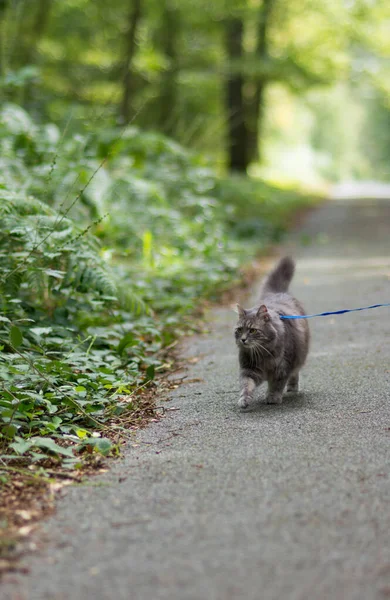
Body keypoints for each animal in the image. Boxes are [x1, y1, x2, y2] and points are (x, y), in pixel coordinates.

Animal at [235, 255, 310, 410]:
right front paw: (244, 400)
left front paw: (273, 397)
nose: (243, 339)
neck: (263, 355)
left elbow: (276, 385)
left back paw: (292, 388)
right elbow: (246, 385)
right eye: (239, 330)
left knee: (295, 374)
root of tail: (277, 293)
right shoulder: (249, 370)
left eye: (252, 330)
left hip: (298, 358)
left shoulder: (282, 369)